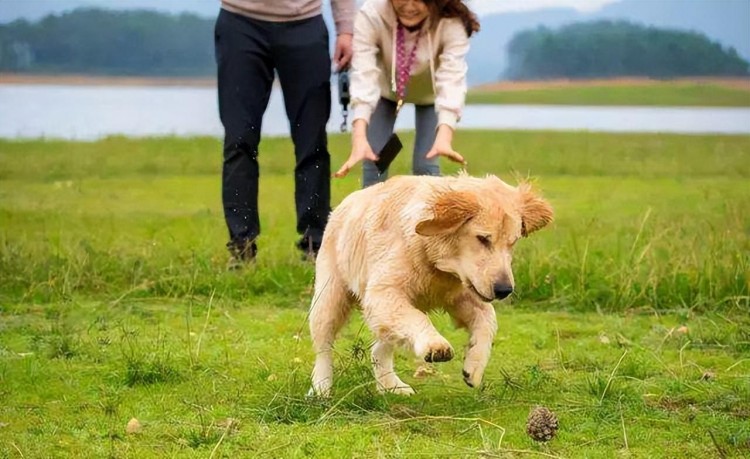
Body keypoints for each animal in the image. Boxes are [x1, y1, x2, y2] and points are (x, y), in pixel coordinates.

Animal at [308, 174, 556, 398]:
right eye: (483, 238)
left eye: (512, 242)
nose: (504, 290)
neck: (436, 263)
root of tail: (344, 204)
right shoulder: (383, 294)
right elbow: (418, 317)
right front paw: (435, 345)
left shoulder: (461, 293)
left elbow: (488, 318)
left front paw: (474, 367)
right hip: (329, 297)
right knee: (324, 347)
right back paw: (321, 388)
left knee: (379, 348)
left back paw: (391, 386)